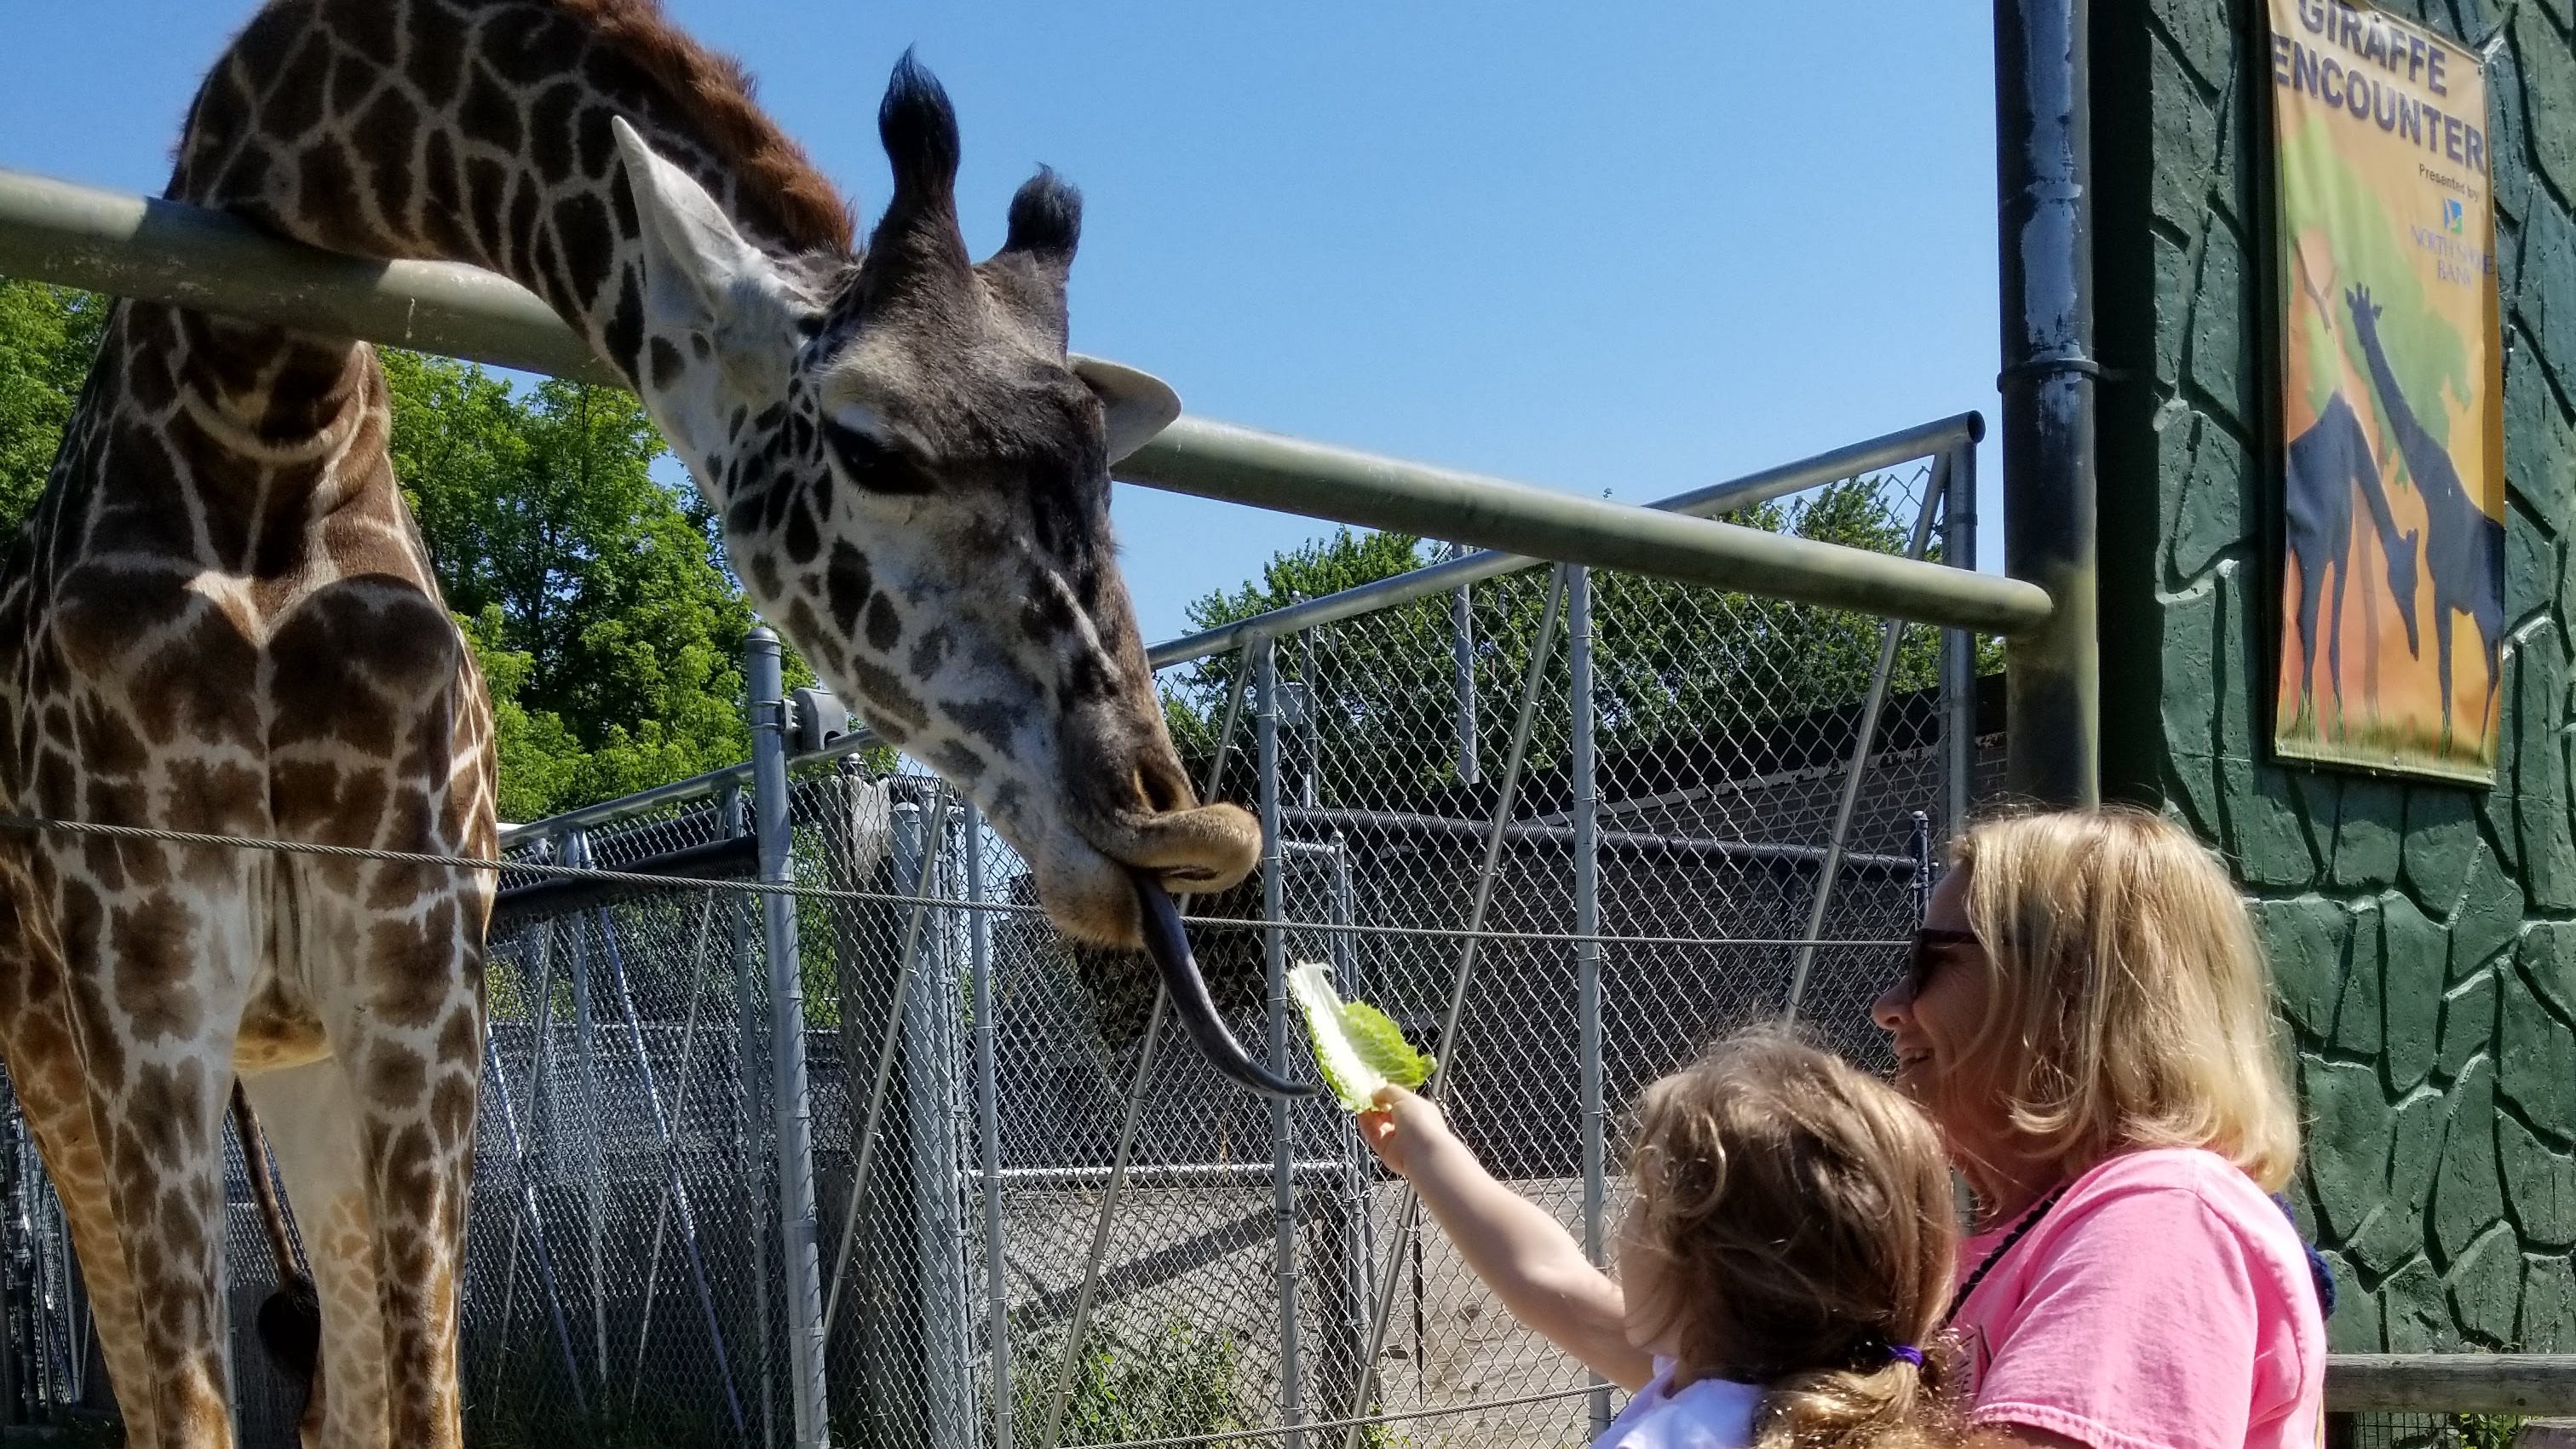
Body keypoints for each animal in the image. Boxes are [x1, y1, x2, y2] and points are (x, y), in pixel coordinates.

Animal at [0, 3, 1282, 1443]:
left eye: (1104, 473)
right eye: (876, 449)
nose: (1174, 830)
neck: (260, 414)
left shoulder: (417, 958)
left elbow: (421, 1398)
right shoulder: (147, 964)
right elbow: (186, 1405)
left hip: (294, 1051)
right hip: (59, 1043)